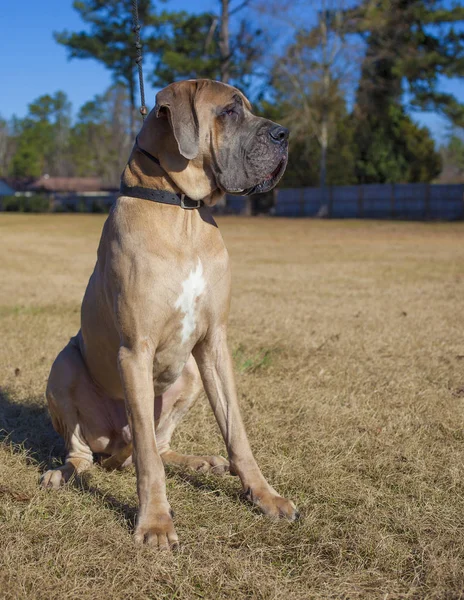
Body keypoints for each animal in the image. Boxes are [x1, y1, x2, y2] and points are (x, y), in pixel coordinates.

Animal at [41, 78, 300, 548]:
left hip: (191, 375)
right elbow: (147, 456)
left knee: (159, 447)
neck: (182, 212)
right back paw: (63, 474)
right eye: (229, 111)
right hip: (63, 367)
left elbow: (237, 431)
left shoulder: (214, 343)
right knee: (89, 451)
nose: (284, 135)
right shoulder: (135, 351)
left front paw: (264, 496)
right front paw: (156, 522)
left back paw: (199, 461)